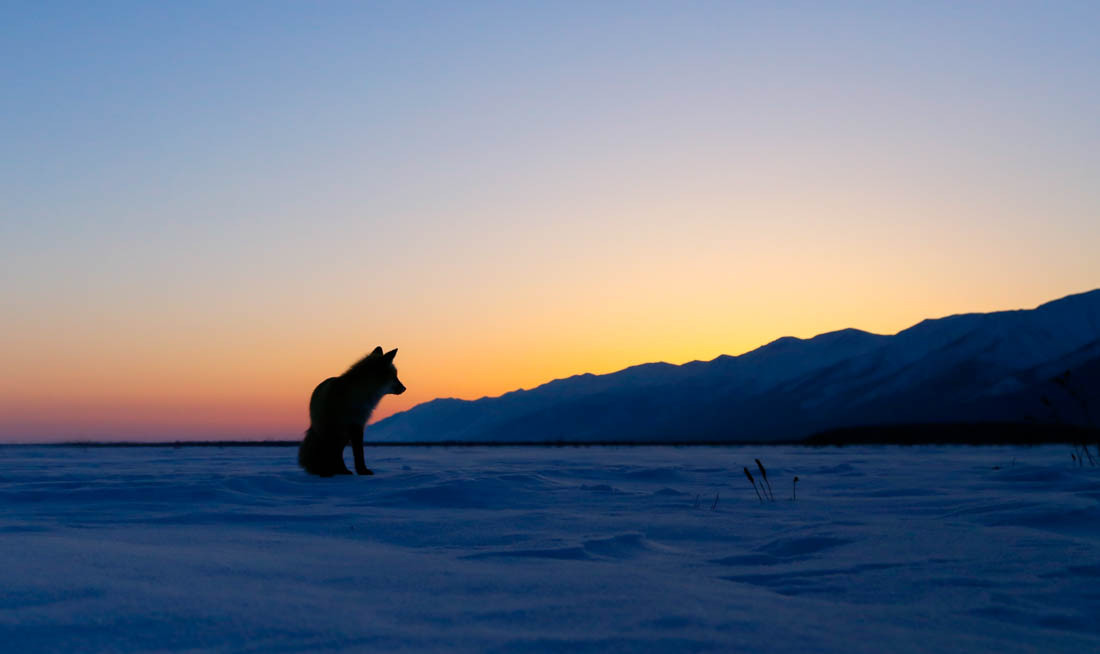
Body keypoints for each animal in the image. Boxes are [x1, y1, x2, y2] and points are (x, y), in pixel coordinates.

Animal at [299, 347, 407, 477]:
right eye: (394, 376)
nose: (405, 388)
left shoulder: (357, 425)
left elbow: (359, 453)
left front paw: (362, 471)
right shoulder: (332, 426)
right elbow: (331, 452)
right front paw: (326, 472)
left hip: (343, 435)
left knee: (337, 452)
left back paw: (340, 470)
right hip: (329, 432)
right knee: (327, 451)